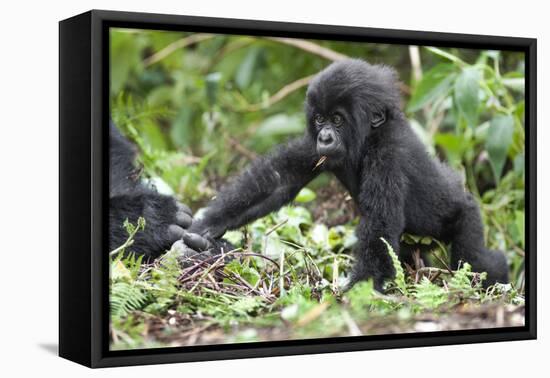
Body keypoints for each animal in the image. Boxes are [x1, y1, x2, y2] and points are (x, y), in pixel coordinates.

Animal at [192, 58, 512, 290]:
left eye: (337, 119)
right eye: (319, 119)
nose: (325, 137)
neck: (369, 137)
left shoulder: (388, 156)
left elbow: (379, 228)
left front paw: (355, 291)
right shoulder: (314, 149)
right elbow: (278, 180)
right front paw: (209, 223)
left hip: (467, 216)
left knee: (475, 259)